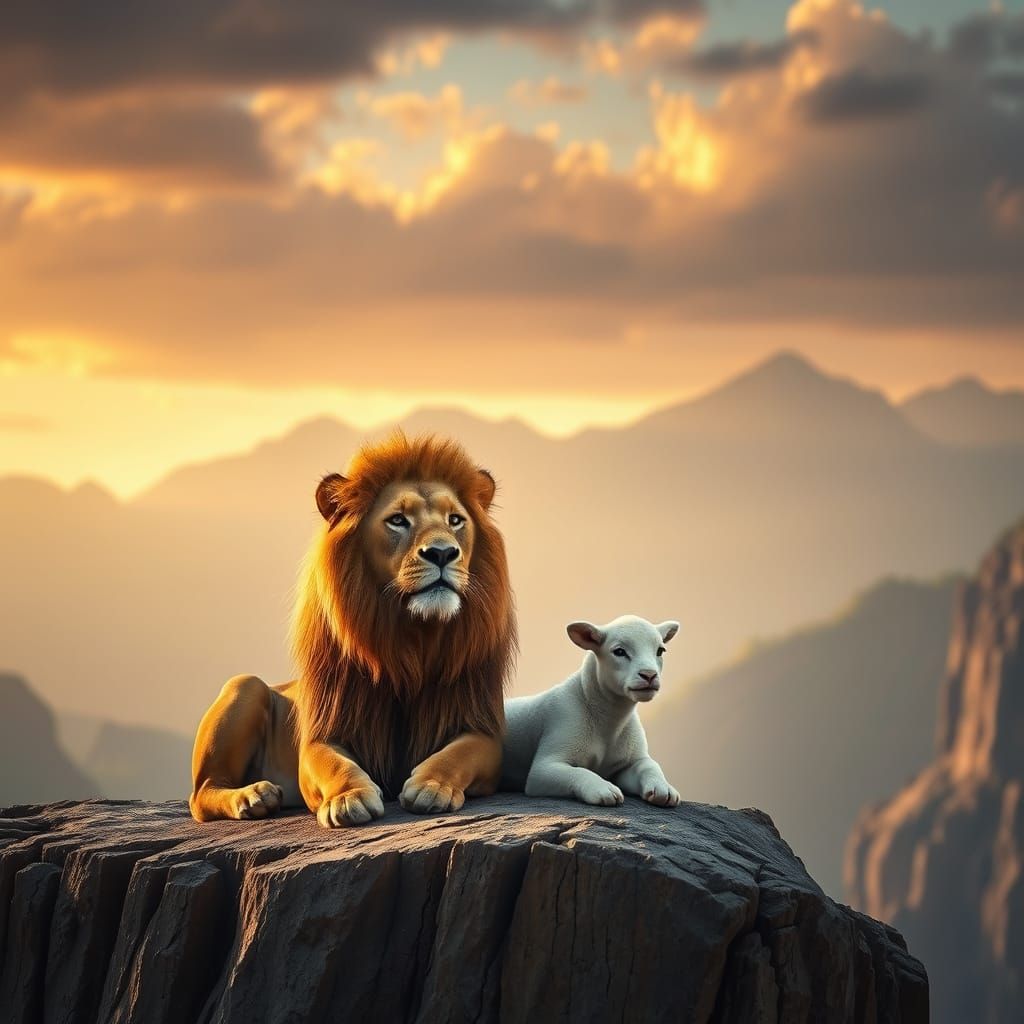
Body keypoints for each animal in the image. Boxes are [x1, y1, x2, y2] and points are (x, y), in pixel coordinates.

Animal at [189, 433, 517, 827]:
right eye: (397, 520)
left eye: (456, 520)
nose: (442, 553)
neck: (411, 640)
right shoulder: (323, 732)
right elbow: (334, 764)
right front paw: (349, 797)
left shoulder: (481, 727)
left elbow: (457, 754)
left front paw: (432, 785)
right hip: (245, 686)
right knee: (202, 793)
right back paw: (254, 796)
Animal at [501, 615, 681, 807]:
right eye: (619, 651)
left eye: (660, 651)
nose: (649, 675)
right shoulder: (545, 767)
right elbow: (578, 771)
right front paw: (603, 790)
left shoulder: (626, 765)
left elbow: (649, 765)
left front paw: (663, 789)